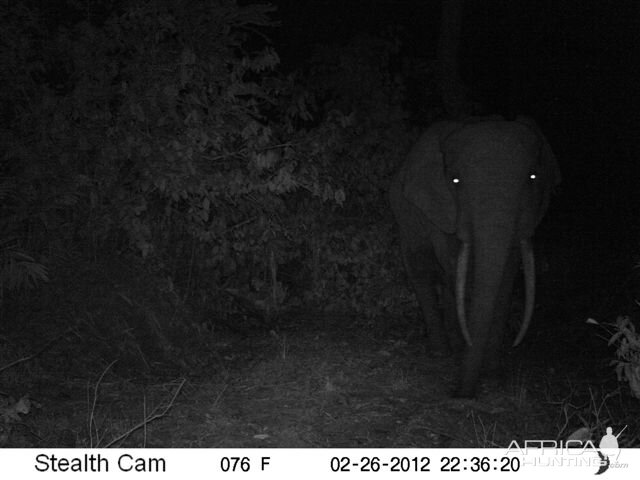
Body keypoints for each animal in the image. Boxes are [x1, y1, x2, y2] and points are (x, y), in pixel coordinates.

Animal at [388, 114, 556, 396]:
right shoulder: (440, 210)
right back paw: (442, 353)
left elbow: (504, 279)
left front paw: (492, 379)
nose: (459, 394)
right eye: (455, 181)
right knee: (421, 271)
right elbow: (461, 271)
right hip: (406, 219)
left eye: (533, 177)